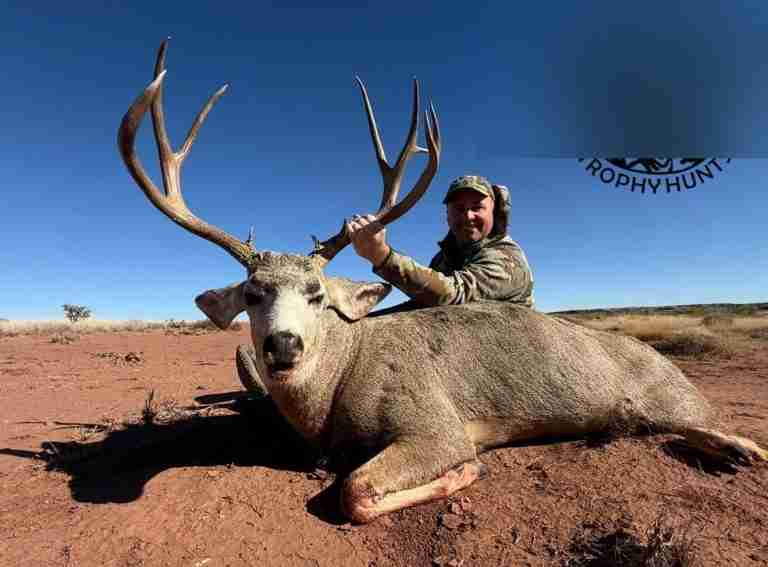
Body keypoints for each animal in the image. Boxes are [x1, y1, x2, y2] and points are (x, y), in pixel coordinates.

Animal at [118, 41, 767, 524]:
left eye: (318, 296)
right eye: (253, 295)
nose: (283, 345)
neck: (336, 389)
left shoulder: (435, 423)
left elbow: (357, 491)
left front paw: (467, 470)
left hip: (676, 398)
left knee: (727, 429)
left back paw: (739, 449)